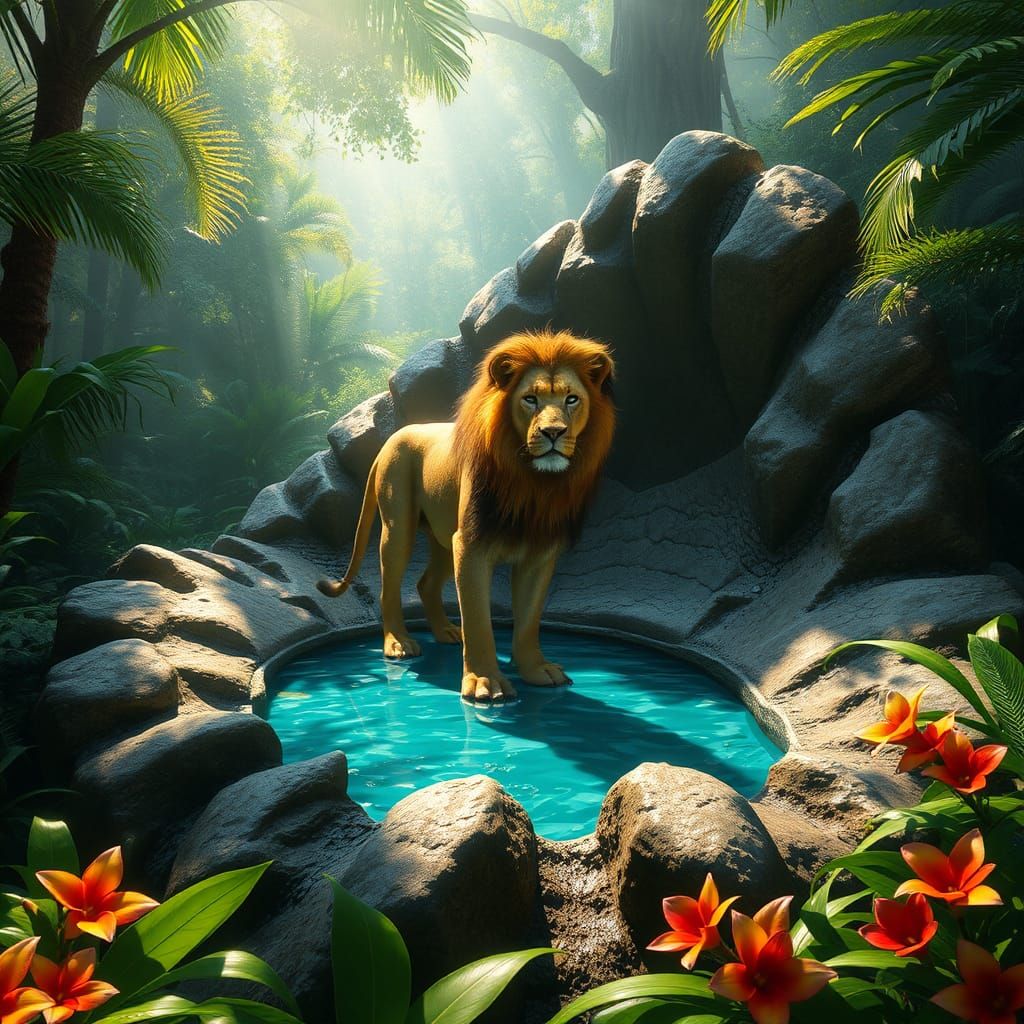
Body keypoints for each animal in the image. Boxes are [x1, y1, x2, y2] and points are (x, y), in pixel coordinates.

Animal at [317, 329, 616, 701]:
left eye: (571, 399)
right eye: (530, 399)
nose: (553, 432)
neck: (533, 482)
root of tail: (393, 436)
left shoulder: (539, 554)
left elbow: (529, 620)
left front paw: (536, 670)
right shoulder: (471, 544)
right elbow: (477, 617)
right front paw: (485, 682)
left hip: (445, 538)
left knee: (426, 583)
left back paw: (445, 630)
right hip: (399, 524)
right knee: (390, 584)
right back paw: (397, 643)